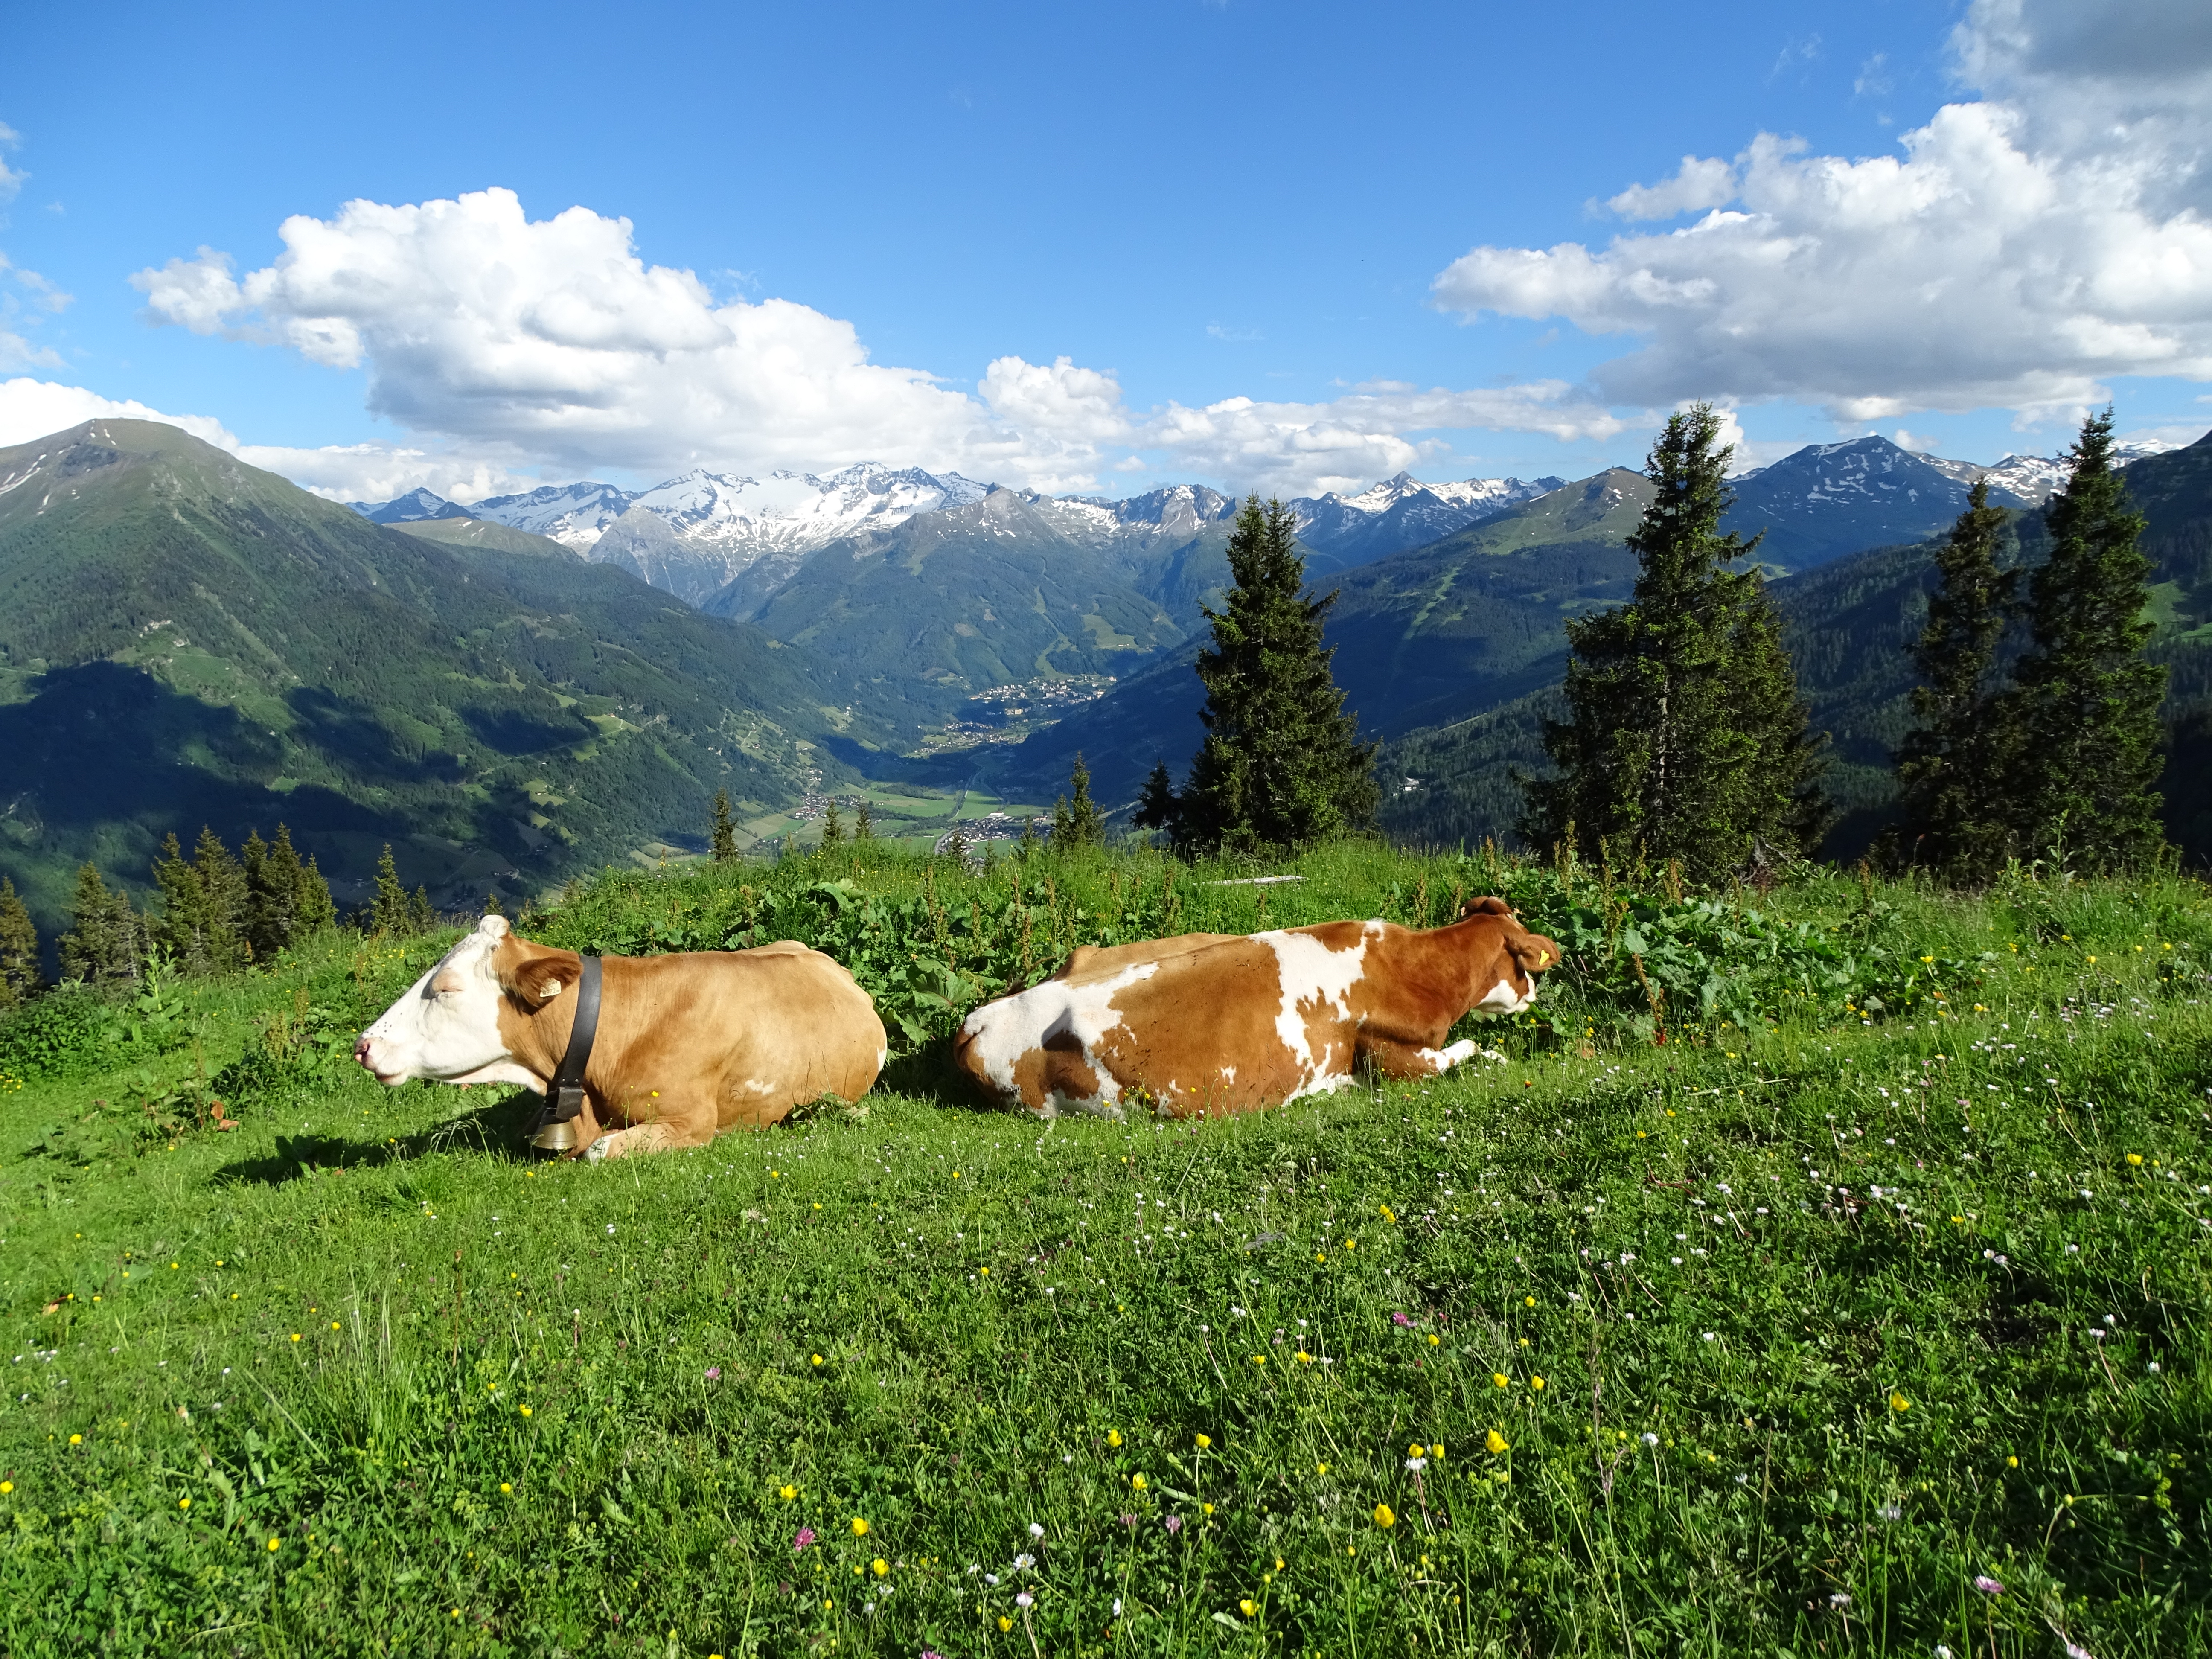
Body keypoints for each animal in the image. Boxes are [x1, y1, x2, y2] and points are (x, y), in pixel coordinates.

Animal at [952, 897, 1560, 1119]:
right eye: (1523, 964)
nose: (1534, 991)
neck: (1415, 968)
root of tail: (976, 1021)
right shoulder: (1396, 1058)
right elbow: (1473, 1047)